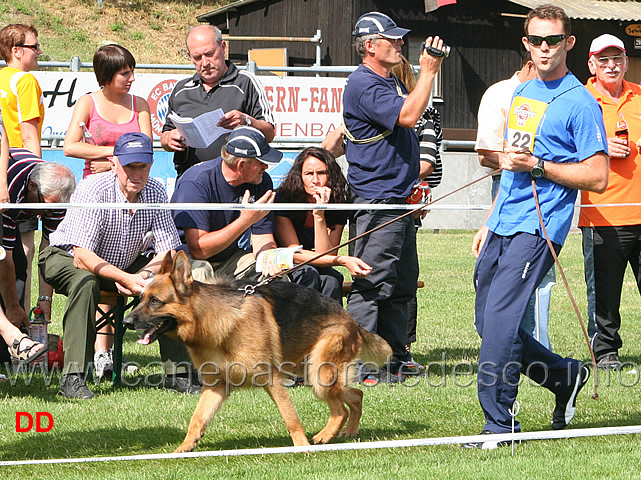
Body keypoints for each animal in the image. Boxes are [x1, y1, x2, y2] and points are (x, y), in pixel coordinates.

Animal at [124, 253, 390, 452]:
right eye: (141, 298)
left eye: (155, 301)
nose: (126, 321)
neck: (215, 322)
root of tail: (351, 319)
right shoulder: (215, 387)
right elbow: (197, 419)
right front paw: (185, 448)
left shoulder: (271, 379)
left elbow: (290, 417)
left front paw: (301, 446)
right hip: (314, 374)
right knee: (356, 395)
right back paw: (349, 431)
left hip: (319, 376)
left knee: (340, 409)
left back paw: (324, 436)